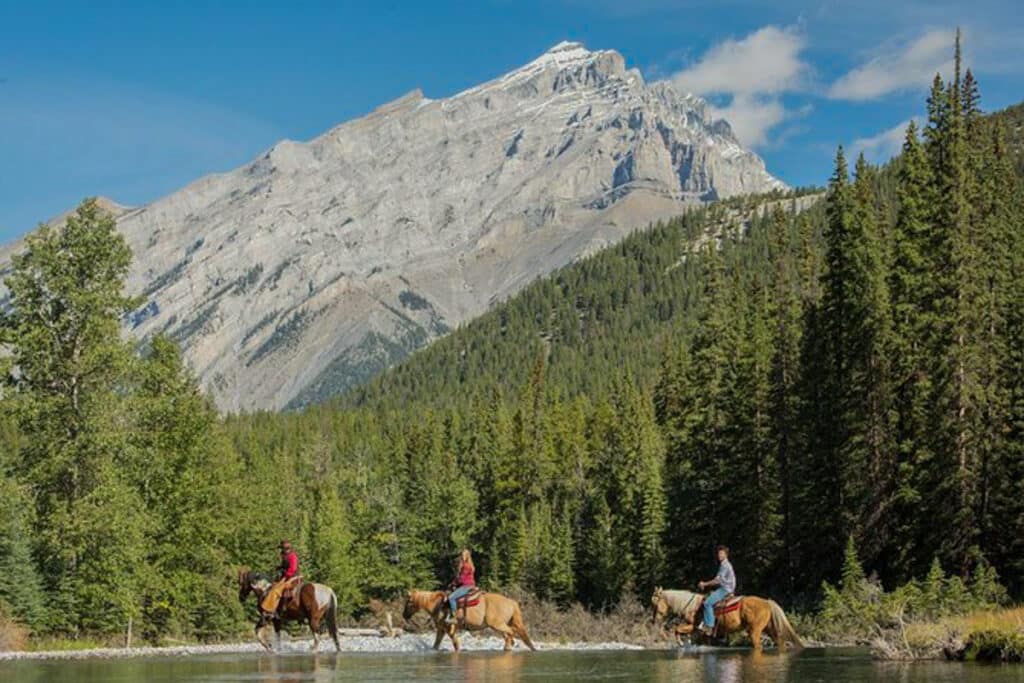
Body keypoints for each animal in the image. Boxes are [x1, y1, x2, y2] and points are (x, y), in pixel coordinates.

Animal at [402, 589, 537, 652]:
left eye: (408, 602)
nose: (404, 615)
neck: (437, 605)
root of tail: (511, 602)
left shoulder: (448, 628)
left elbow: (455, 643)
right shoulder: (441, 629)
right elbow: (436, 644)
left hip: (497, 624)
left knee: (510, 632)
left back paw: (508, 647)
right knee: (512, 634)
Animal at [650, 586, 803, 652]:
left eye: (654, 603)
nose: (654, 620)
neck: (692, 605)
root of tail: (767, 602)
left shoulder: (693, 626)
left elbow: (677, 629)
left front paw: (681, 642)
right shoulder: (703, 634)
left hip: (754, 631)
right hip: (770, 629)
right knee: (779, 642)